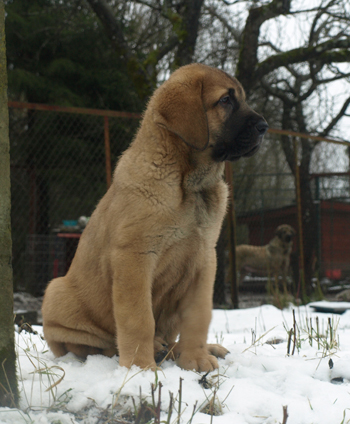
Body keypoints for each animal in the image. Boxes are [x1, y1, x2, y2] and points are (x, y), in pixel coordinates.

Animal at [42, 62, 270, 372]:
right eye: (225, 100)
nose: (264, 127)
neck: (189, 184)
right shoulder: (134, 258)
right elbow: (138, 318)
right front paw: (140, 368)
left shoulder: (204, 258)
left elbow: (198, 316)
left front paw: (196, 358)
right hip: (56, 292)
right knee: (92, 344)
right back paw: (146, 351)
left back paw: (182, 349)